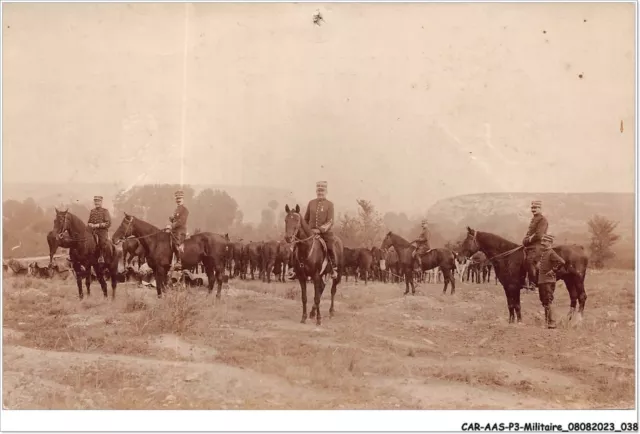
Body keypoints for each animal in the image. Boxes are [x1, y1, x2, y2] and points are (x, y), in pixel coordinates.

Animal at [460, 227, 592, 322]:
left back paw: (579, 319)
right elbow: (511, 305)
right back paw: (569, 318)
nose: (460, 258)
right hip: (569, 280)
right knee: (573, 297)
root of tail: (579, 248)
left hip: (578, 279)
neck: (507, 257)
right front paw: (511, 322)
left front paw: (519, 322)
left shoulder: (514, 286)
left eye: (466, 241)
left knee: (582, 296)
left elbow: (516, 305)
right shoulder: (507, 287)